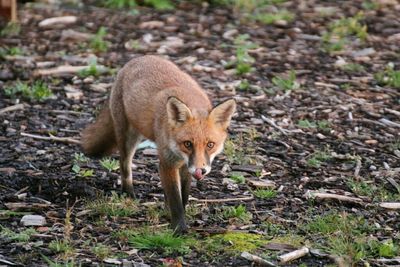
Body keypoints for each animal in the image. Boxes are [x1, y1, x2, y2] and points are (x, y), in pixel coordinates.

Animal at [82, 55, 238, 233]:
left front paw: (174, 214)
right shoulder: (167, 163)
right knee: (124, 164)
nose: (201, 171)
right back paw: (128, 193)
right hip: (129, 137)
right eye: (188, 144)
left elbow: (183, 195)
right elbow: (175, 199)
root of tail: (139, 58)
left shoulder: (186, 167)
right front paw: (179, 228)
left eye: (210, 145)